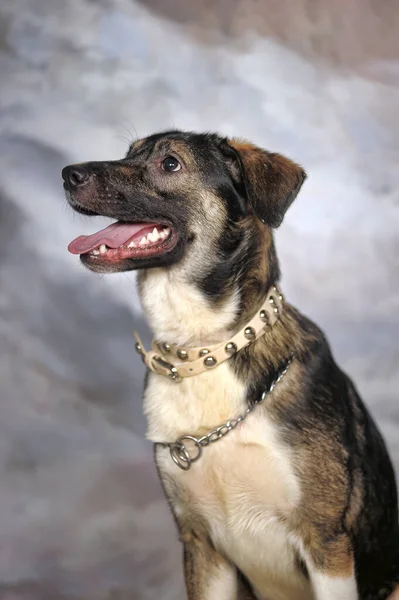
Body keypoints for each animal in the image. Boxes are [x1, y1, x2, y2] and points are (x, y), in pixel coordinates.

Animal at [62, 131, 399, 600]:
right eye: (129, 152)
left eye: (170, 163)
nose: (67, 174)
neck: (205, 350)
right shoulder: (201, 545)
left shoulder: (326, 544)